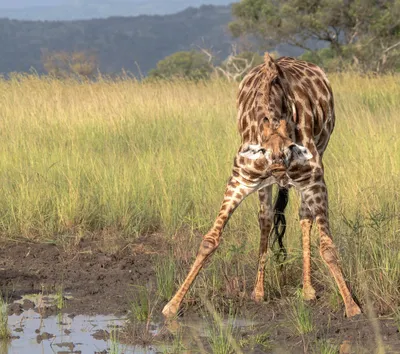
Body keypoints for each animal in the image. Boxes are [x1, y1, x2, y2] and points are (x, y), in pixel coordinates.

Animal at [161, 54, 360, 320]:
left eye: (291, 147)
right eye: (263, 150)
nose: (279, 172)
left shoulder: (313, 178)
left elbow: (327, 246)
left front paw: (352, 306)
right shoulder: (240, 178)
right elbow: (210, 240)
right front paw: (173, 305)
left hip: (316, 159)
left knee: (304, 216)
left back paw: (307, 290)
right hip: (264, 184)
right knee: (265, 218)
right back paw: (258, 291)